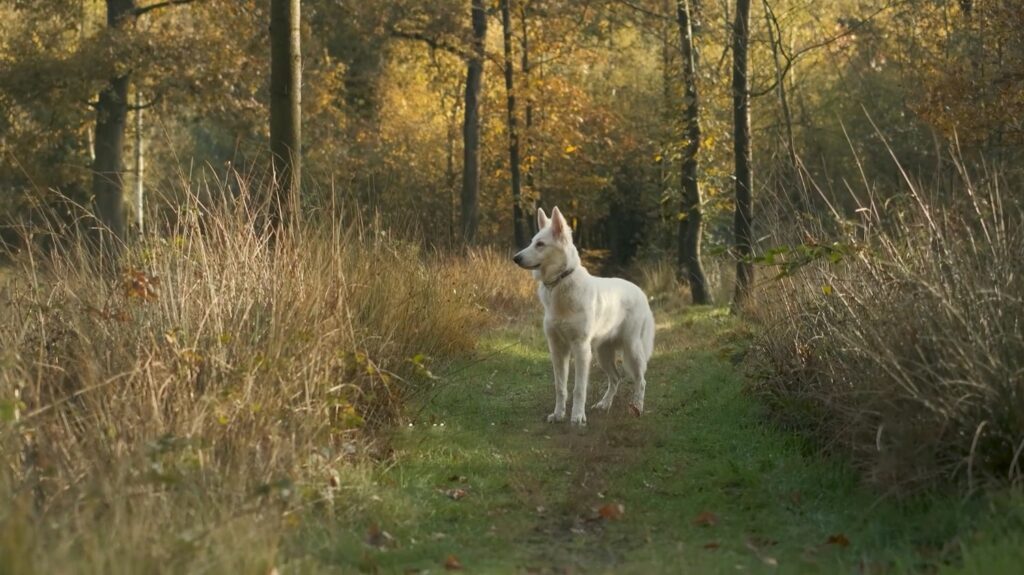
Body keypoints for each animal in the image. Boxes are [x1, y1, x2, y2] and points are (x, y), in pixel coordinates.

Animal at [512, 207, 655, 423]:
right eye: (531, 242)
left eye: (540, 244)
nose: (515, 258)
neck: (560, 281)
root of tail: (640, 292)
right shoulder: (557, 349)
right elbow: (560, 387)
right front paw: (558, 414)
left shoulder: (580, 349)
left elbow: (579, 389)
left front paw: (577, 417)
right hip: (602, 353)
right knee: (616, 378)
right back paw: (604, 405)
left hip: (631, 349)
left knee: (641, 381)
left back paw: (637, 408)